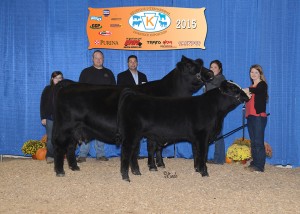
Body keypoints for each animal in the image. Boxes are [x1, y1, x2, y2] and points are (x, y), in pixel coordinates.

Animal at [53, 56, 213, 176]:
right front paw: (152, 166)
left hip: (75, 129)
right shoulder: (152, 130)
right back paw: (60, 171)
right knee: (60, 146)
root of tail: (69, 84)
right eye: (192, 67)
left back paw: (74, 167)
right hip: (65, 126)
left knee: (70, 146)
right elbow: (151, 147)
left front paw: (160, 164)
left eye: (200, 64)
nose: (211, 73)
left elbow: (156, 148)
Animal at [116, 80, 250, 181]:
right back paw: (126, 176)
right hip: (131, 133)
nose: (247, 95)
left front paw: (197, 169)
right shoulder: (203, 136)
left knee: (134, 151)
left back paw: (136, 172)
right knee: (126, 150)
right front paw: (204, 173)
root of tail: (132, 96)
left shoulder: (196, 138)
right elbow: (203, 154)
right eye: (234, 88)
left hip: (137, 135)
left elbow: (197, 153)